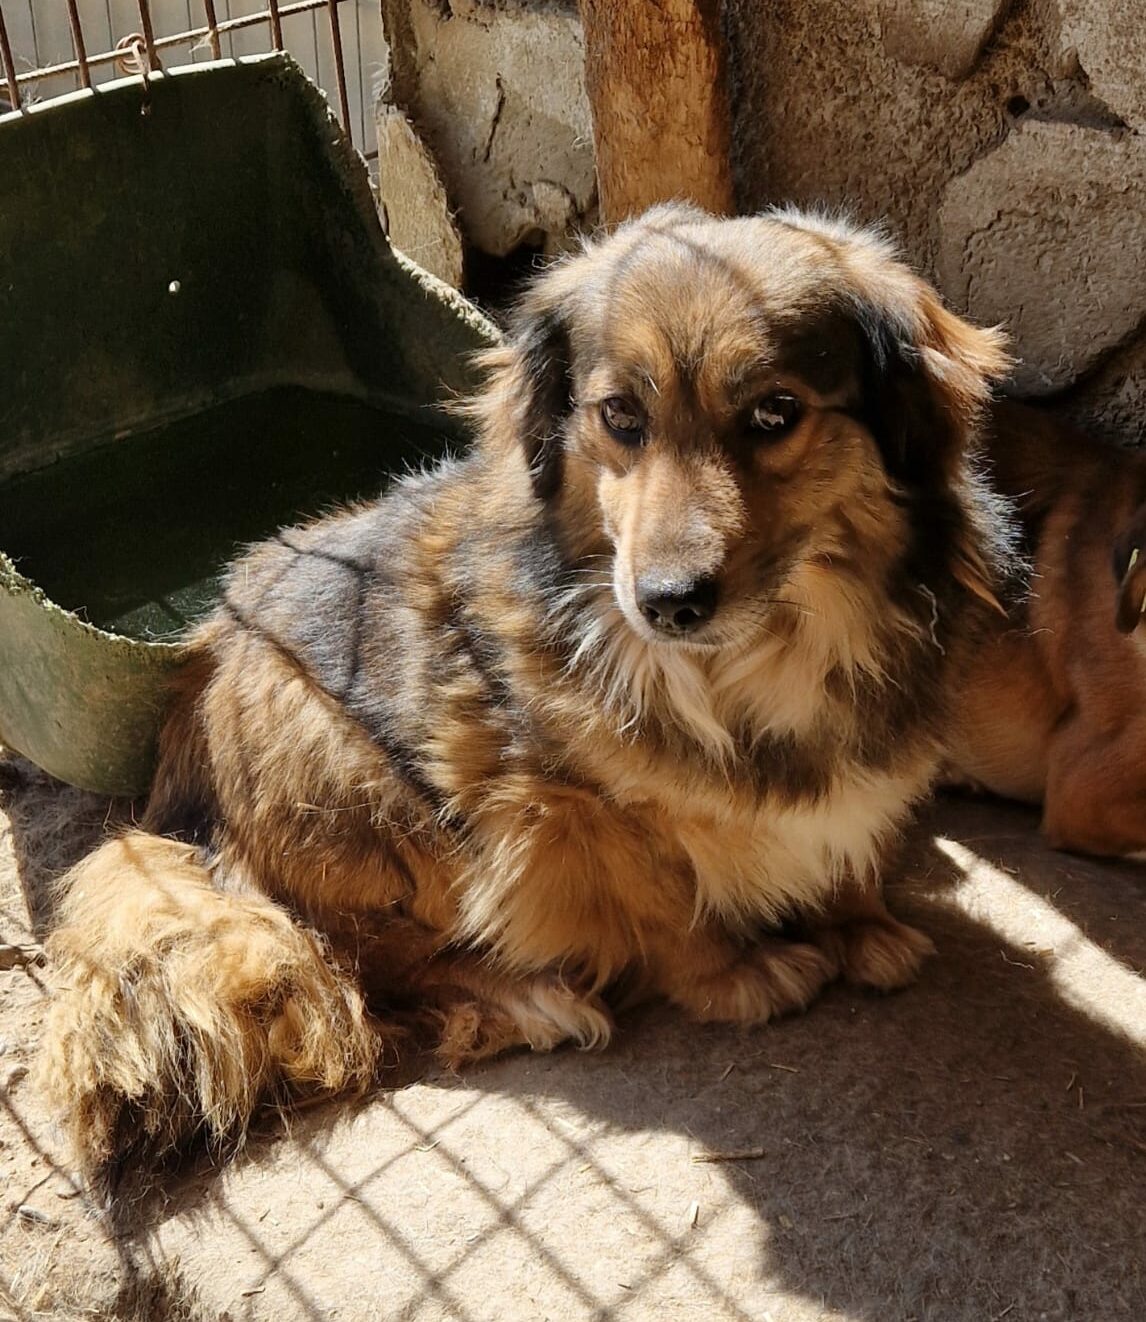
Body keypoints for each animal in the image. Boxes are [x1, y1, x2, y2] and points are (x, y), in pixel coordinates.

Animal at [41, 205, 1017, 1186]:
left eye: (775, 414)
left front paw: (860, 921)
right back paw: (525, 995)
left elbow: (848, 846)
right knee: (350, 955)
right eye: (621, 415)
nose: (667, 603)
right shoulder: (562, 805)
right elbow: (666, 897)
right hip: (356, 776)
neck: (753, 664)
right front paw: (735, 975)